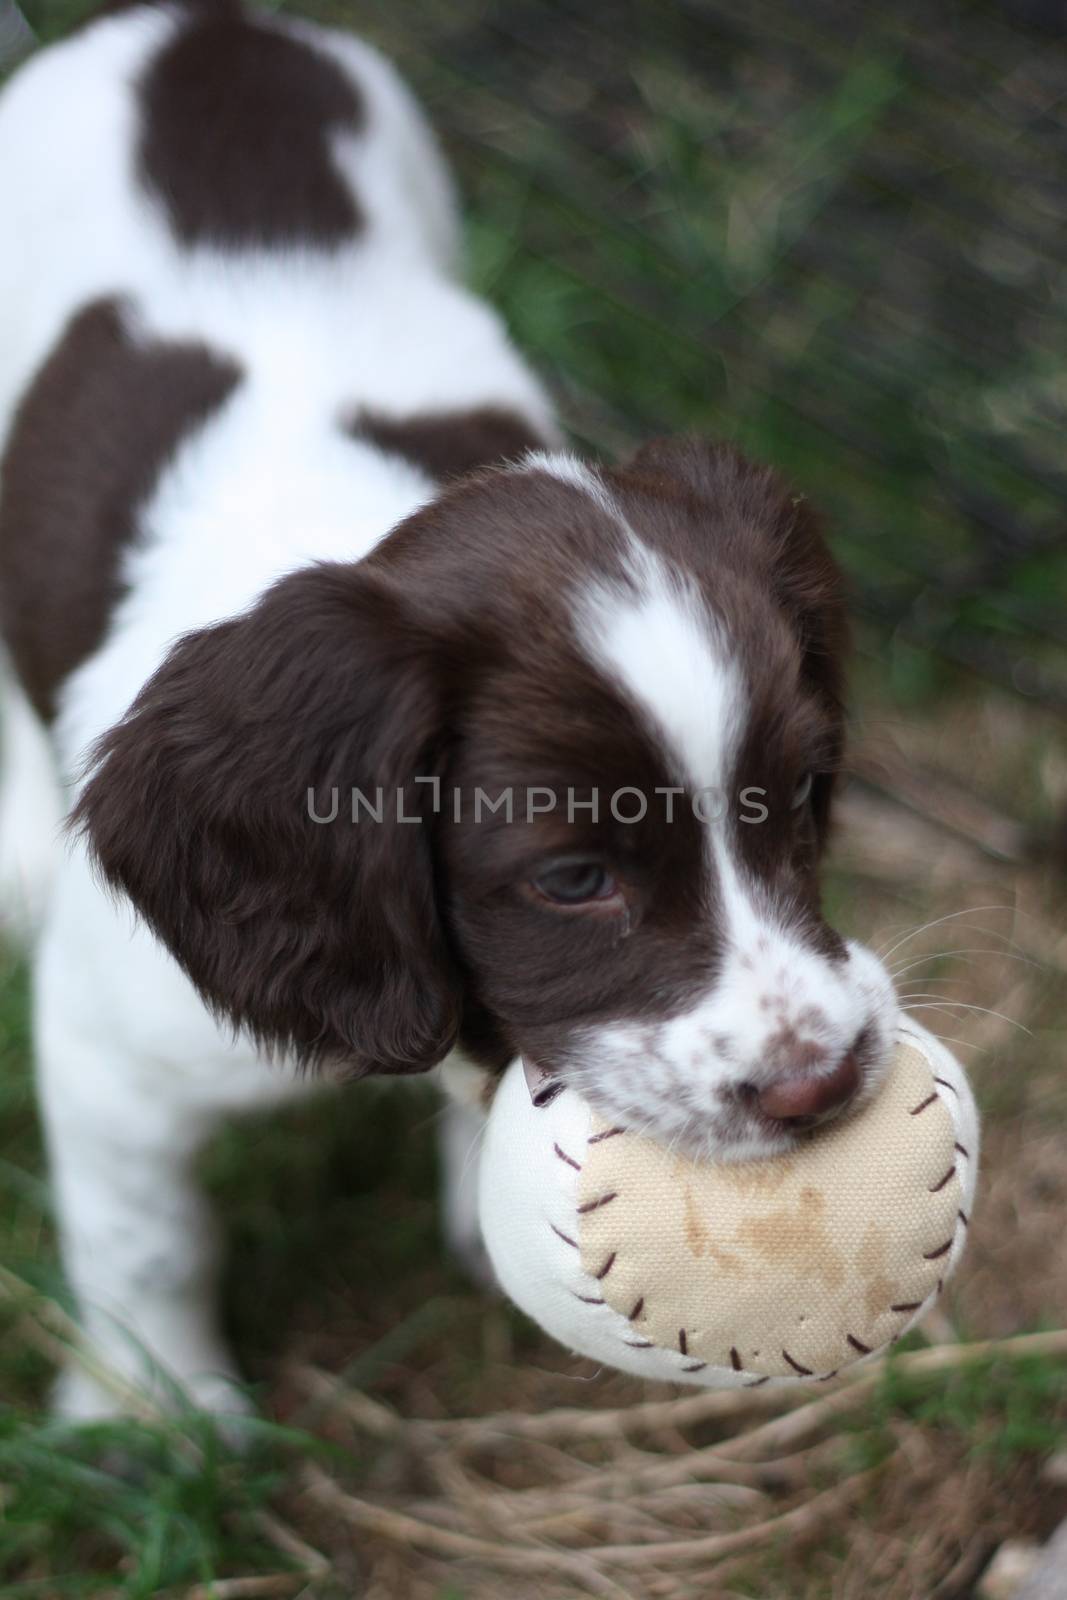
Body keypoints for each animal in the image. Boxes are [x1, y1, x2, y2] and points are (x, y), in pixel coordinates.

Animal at [0, 0, 902, 1427]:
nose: (819, 1084)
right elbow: (146, 1238)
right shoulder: (114, 1052)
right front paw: (162, 1416)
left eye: (805, 795)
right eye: (573, 878)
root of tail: (195, 25)